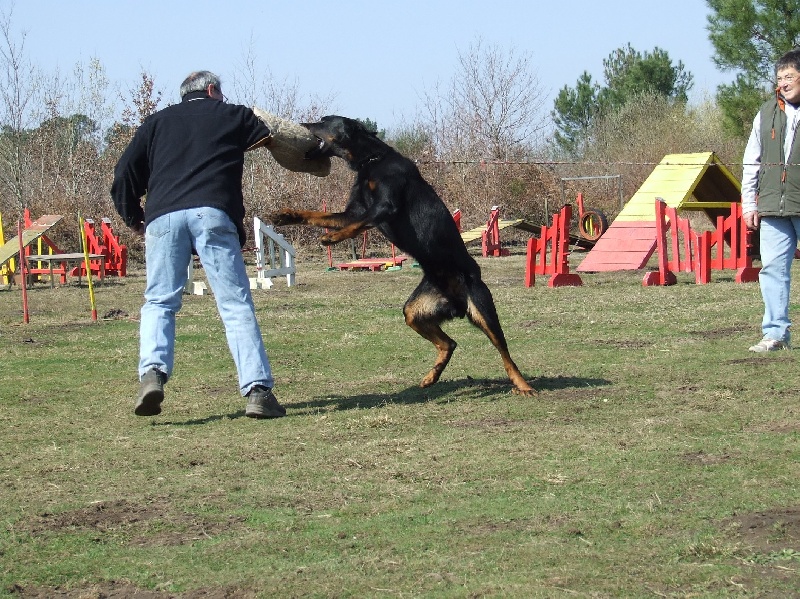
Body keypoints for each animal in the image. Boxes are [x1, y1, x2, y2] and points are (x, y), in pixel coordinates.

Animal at [270, 116, 536, 398]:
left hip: (483, 310)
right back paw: (431, 377)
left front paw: (332, 237)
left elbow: (356, 225)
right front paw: (286, 215)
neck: (371, 161)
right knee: (450, 343)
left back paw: (523, 385)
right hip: (415, 311)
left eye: (324, 120)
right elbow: (317, 215)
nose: (303, 124)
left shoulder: (384, 206)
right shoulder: (352, 212)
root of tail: (456, 301)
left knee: (505, 353)